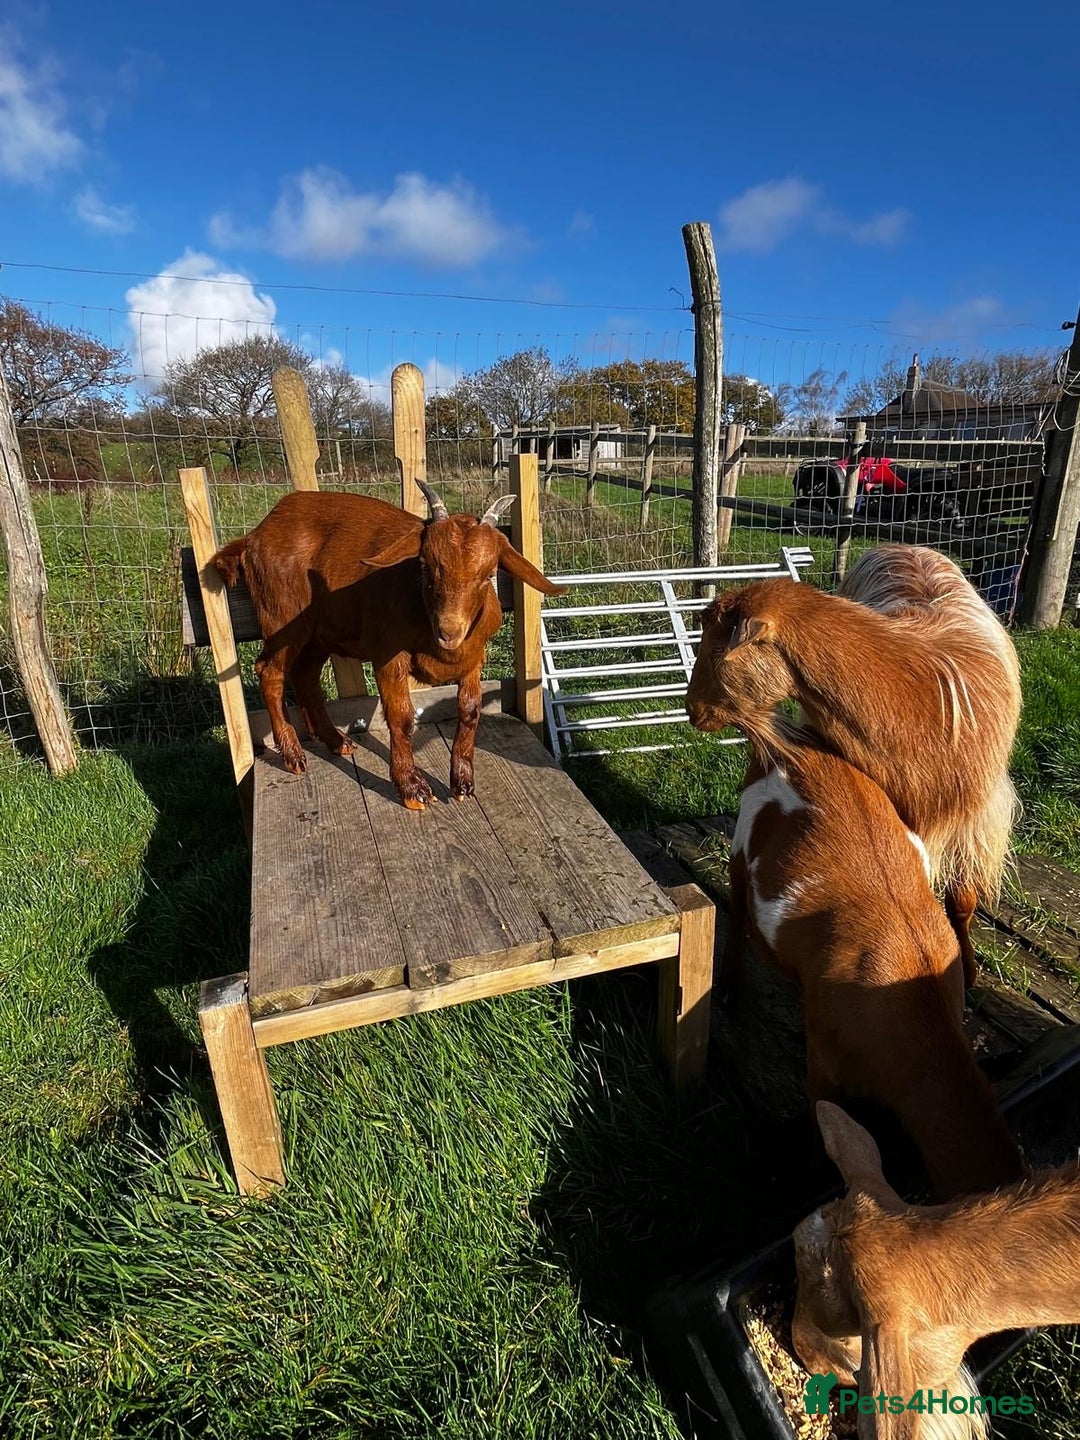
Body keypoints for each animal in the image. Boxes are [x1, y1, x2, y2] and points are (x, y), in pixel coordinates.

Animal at [212, 482, 565, 809]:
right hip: (282, 616)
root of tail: (255, 534)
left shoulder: (474, 659)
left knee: (306, 675)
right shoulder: (389, 656)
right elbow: (402, 717)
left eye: (489, 573)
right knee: (270, 672)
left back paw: (335, 740)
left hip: (320, 631)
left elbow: (469, 710)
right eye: (424, 566)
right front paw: (411, 788)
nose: (449, 632)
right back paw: (292, 754)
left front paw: (462, 782)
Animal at [686, 548, 1021, 983]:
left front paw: (967, 968)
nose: (692, 710)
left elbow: (962, 900)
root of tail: (907, 547)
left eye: (715, 650)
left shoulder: (974, 820)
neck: (917, 701)